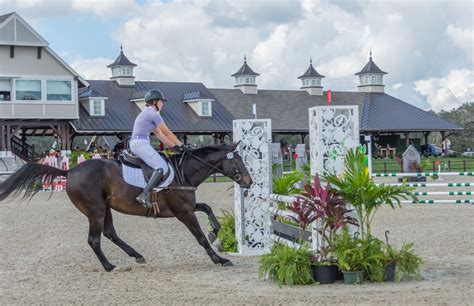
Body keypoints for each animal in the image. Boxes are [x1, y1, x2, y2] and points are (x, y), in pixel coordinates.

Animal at [0, 142, 252, 272]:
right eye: (238, 161)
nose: (249, 182)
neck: (184, 172)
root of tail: (69, 171)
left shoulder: (187, 206)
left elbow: (208, 208)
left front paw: (215, 232)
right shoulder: (183, 212)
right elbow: (199, 237)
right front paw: (219, 259)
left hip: (105, 208)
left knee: (110, 233)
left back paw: (137, 255)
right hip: (96, 210)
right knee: (94, 239)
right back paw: (109, 266)